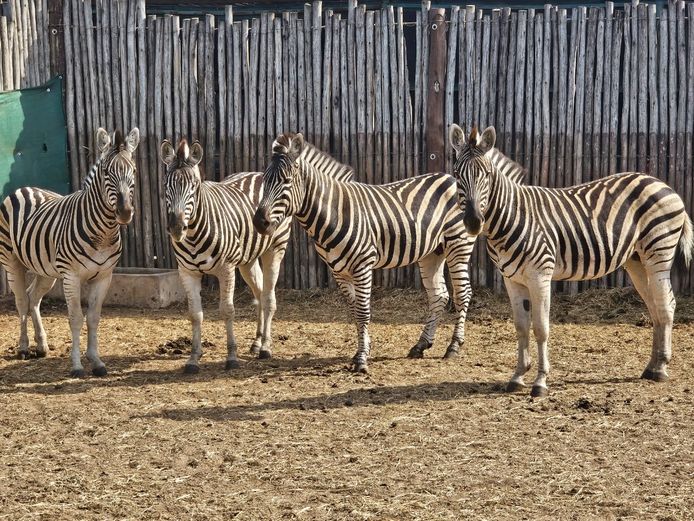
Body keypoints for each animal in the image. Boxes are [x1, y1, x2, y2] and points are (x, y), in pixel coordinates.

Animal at [0, 127, 140, 377]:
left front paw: (96, 361)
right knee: (21, 301)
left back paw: (41, 345)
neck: (103, 233)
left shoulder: (104, 276)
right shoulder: (72, 276)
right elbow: (75, 318)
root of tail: (25, 187)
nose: (124, 212)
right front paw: (76, 366)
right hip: (11, 260)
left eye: (132, 170)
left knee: (33, 297)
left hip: (46, 270)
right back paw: (24, 347)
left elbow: (93, 318)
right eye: (106, 172)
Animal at [160, 138, 294, 373]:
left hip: (275, 249)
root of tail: (258, 173)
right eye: (167, 185)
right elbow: (195, 314)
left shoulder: (226, 269)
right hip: (248, 260)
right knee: (259, 293)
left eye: (194, 186)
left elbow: (227, 310)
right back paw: (256, 342)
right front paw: (193, 358)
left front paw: (232, 357)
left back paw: (265, 347)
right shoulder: (187, 272)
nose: (176, 228)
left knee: (268, 298)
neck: (193, 235)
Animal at [253, 133, 525, 373]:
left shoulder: (363, 265)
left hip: (458, 244)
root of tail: (449, 176)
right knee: (439, 295)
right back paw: (421, 344)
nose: (259, 223)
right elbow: (354, 311)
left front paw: (362, 360)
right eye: (264, 181)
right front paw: (363, 348)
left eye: (286, 181)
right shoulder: (338, 271)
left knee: (463, 293)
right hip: (432, 252)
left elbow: (363, 311)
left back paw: (453, 347)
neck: (335, 212)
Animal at [449, 123, 694, 397]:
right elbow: (521, 327)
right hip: (637, 260)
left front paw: (540, 382)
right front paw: (517, 377)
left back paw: (661, 368)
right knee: (655, 307)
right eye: (456, 174)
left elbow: (541, 328)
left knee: (666, 305)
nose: (473, 222)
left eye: (487, 175)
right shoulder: (512, 279)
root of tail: (661, 183)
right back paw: (651, 367)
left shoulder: (540, 275)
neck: (512, 216)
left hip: (658, 253)